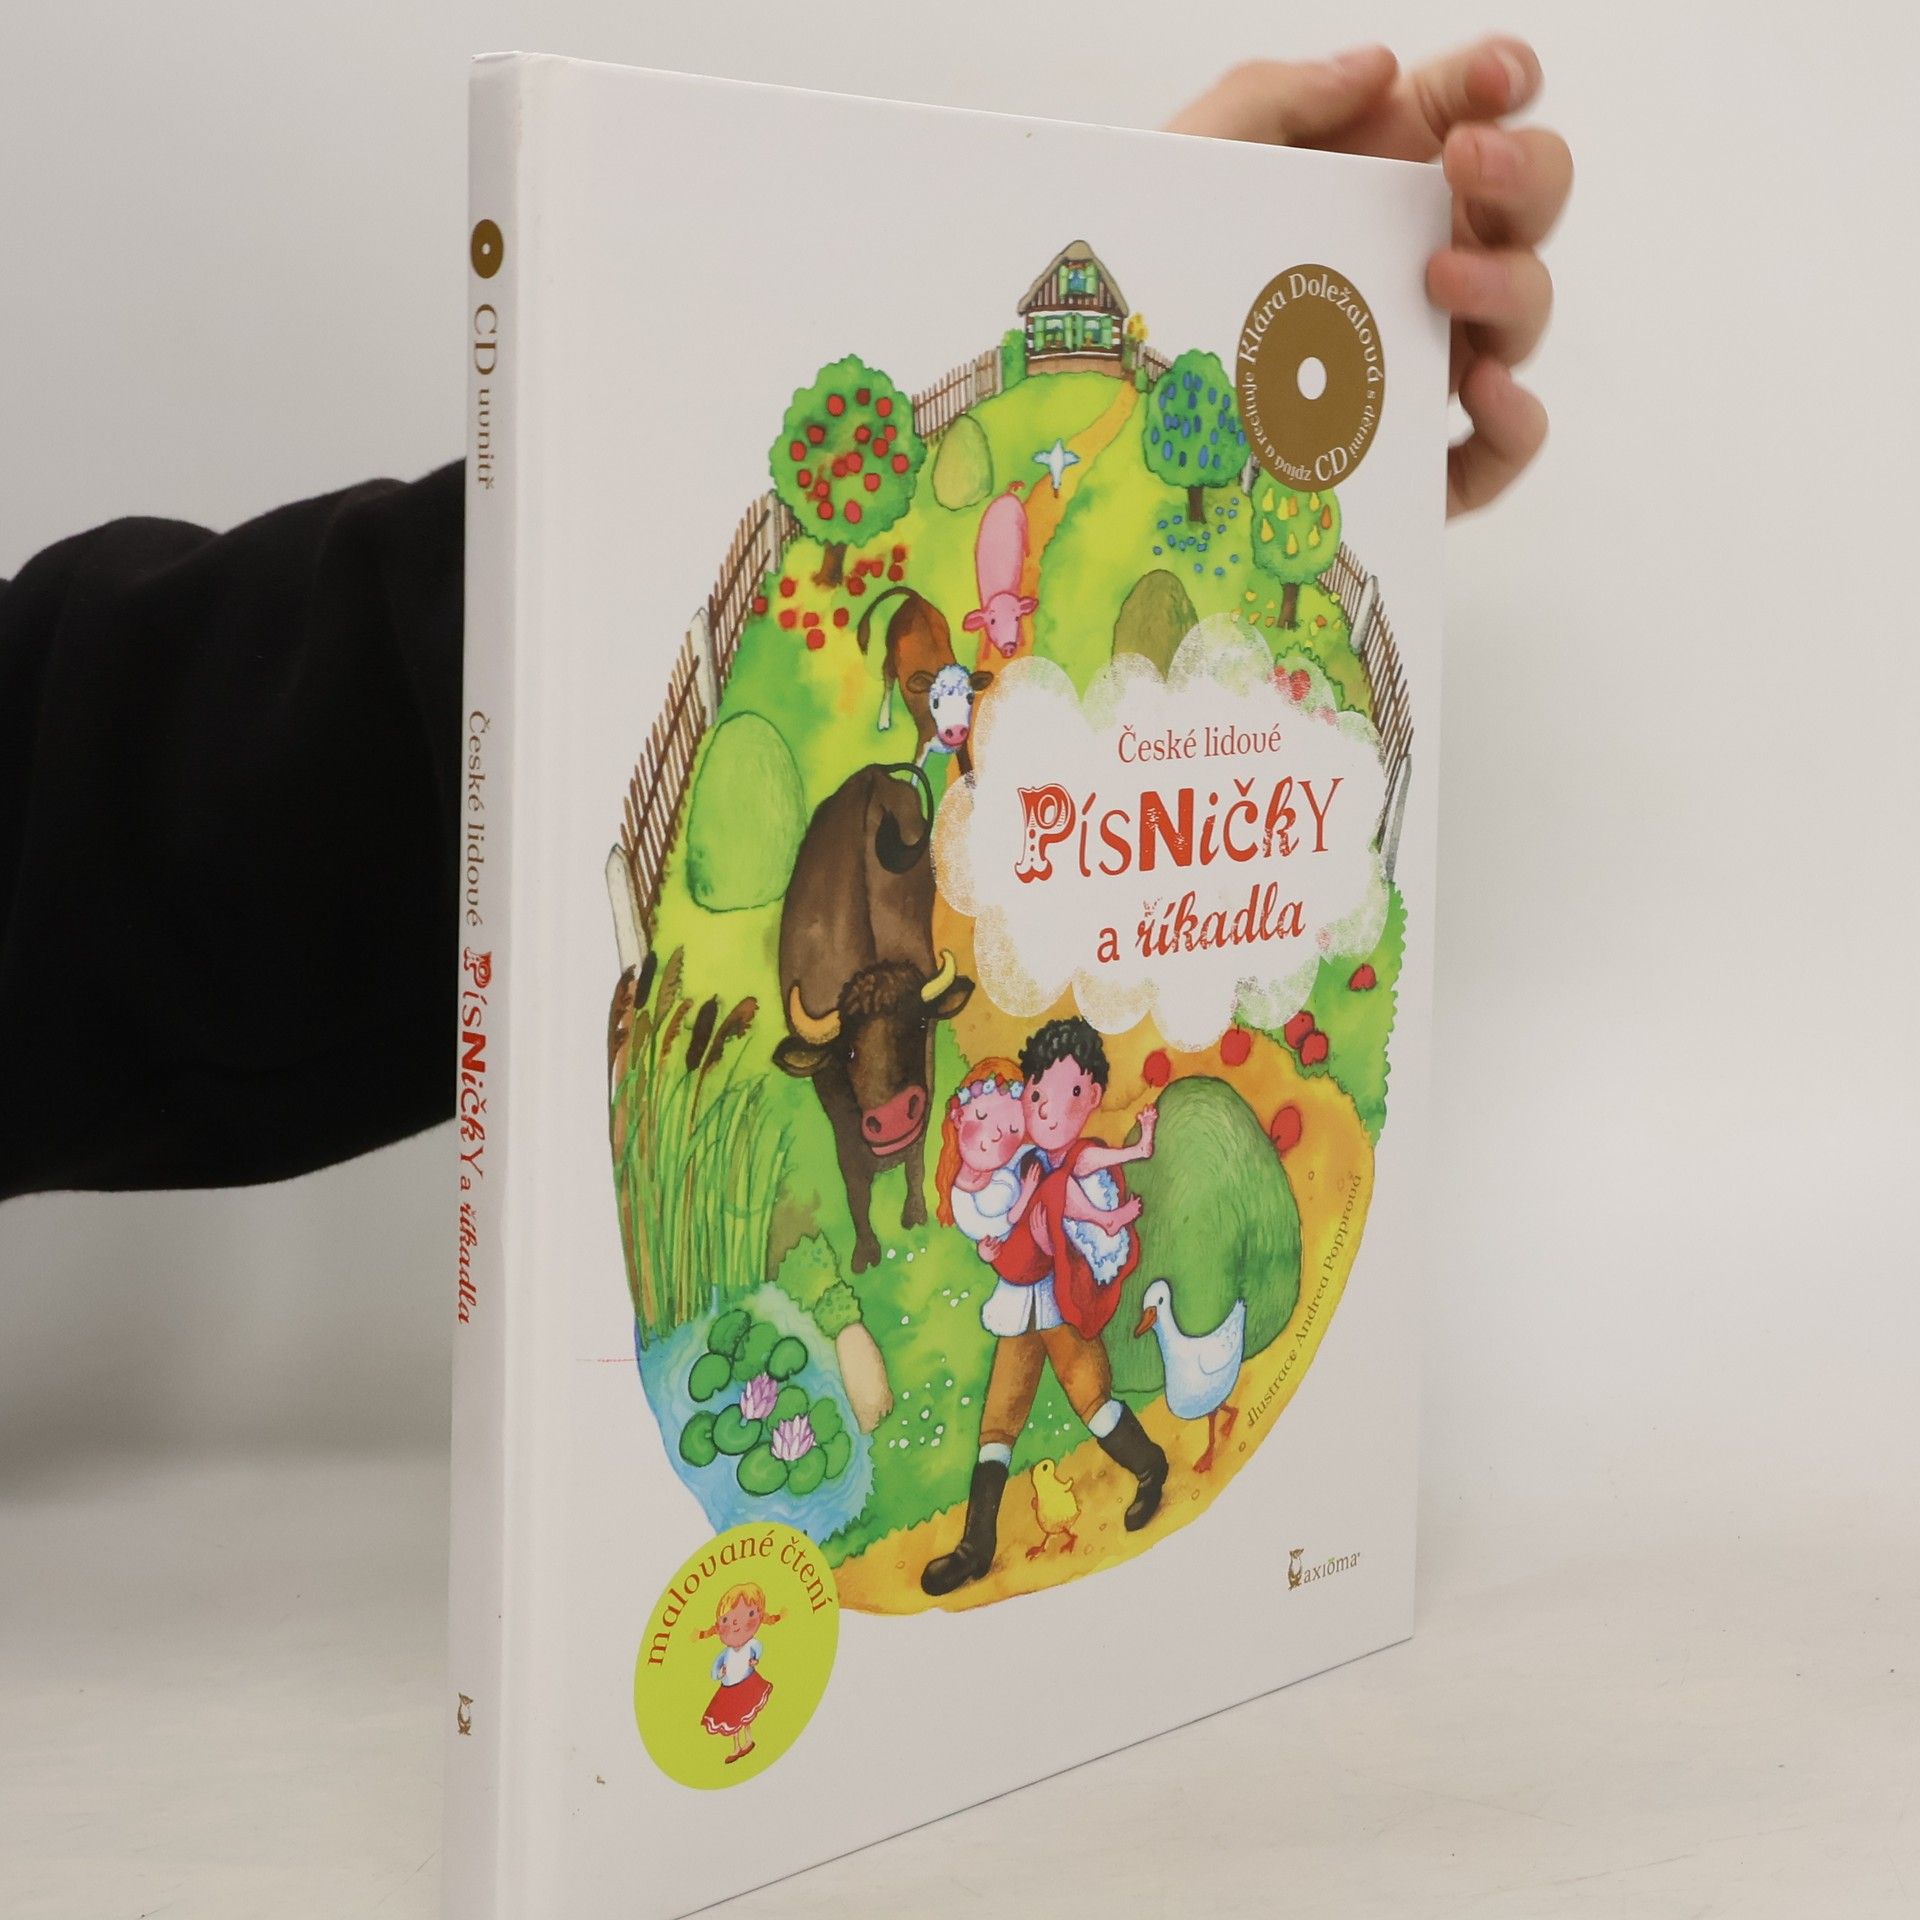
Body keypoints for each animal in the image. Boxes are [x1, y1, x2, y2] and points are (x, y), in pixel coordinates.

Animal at [962, 489, 1037, 660]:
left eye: (1017, 618)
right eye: (992, 621)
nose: (1009, 646)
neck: (1000, 592)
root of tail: (1007, 495)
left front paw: (1022, 641)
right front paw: (985, 655)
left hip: (1022, 517)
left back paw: (1028, 553)